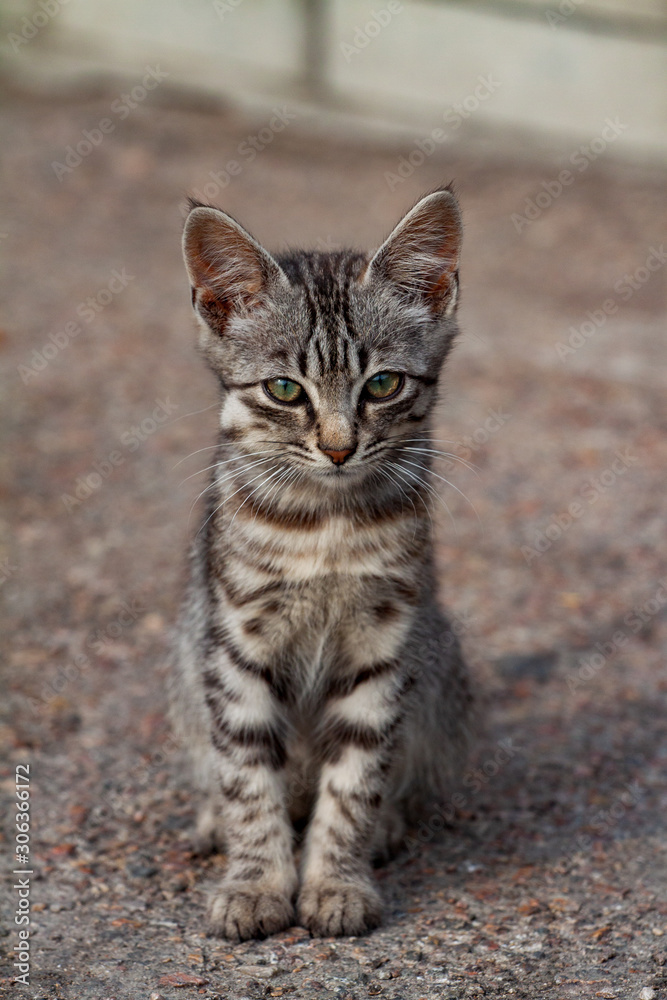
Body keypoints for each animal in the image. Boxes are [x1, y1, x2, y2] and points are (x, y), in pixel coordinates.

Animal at [172, 186, 474, 936]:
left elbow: (355, 780)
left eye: (383, 385)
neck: (326, 526)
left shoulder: (385, 642)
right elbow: (249, 776)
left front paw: (336, 880)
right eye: (284, 390)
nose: (339, 448)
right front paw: (255, 883)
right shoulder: (235, 643)